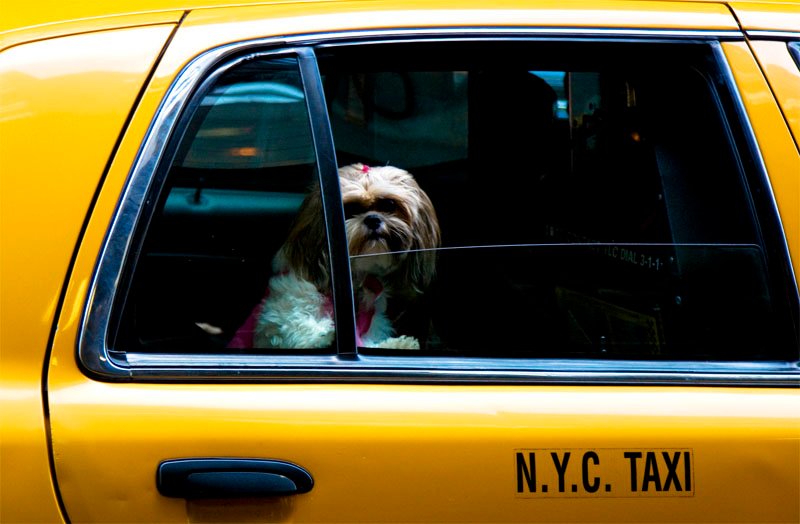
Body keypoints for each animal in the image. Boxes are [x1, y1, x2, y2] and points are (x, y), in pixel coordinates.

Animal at [228, 164, 440, 350]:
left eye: (389, 205)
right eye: (349, 209)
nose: (373, 219)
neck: (357, 279)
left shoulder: (372, 320)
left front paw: (399, 344)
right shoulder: (284, 308)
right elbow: (295, 326)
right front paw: (325, 337)